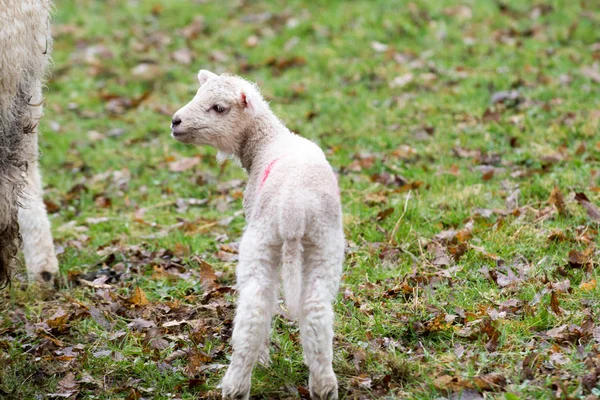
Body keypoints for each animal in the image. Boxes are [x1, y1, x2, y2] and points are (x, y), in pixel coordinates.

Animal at [171, 70, 344, 398]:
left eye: (219, 108)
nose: (175, 122)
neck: (266, 141)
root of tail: (294, 208)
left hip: (261, 240)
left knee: (254, 310)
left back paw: (237, 383)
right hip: (324, 243)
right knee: (316, 309)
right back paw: (323, 383)